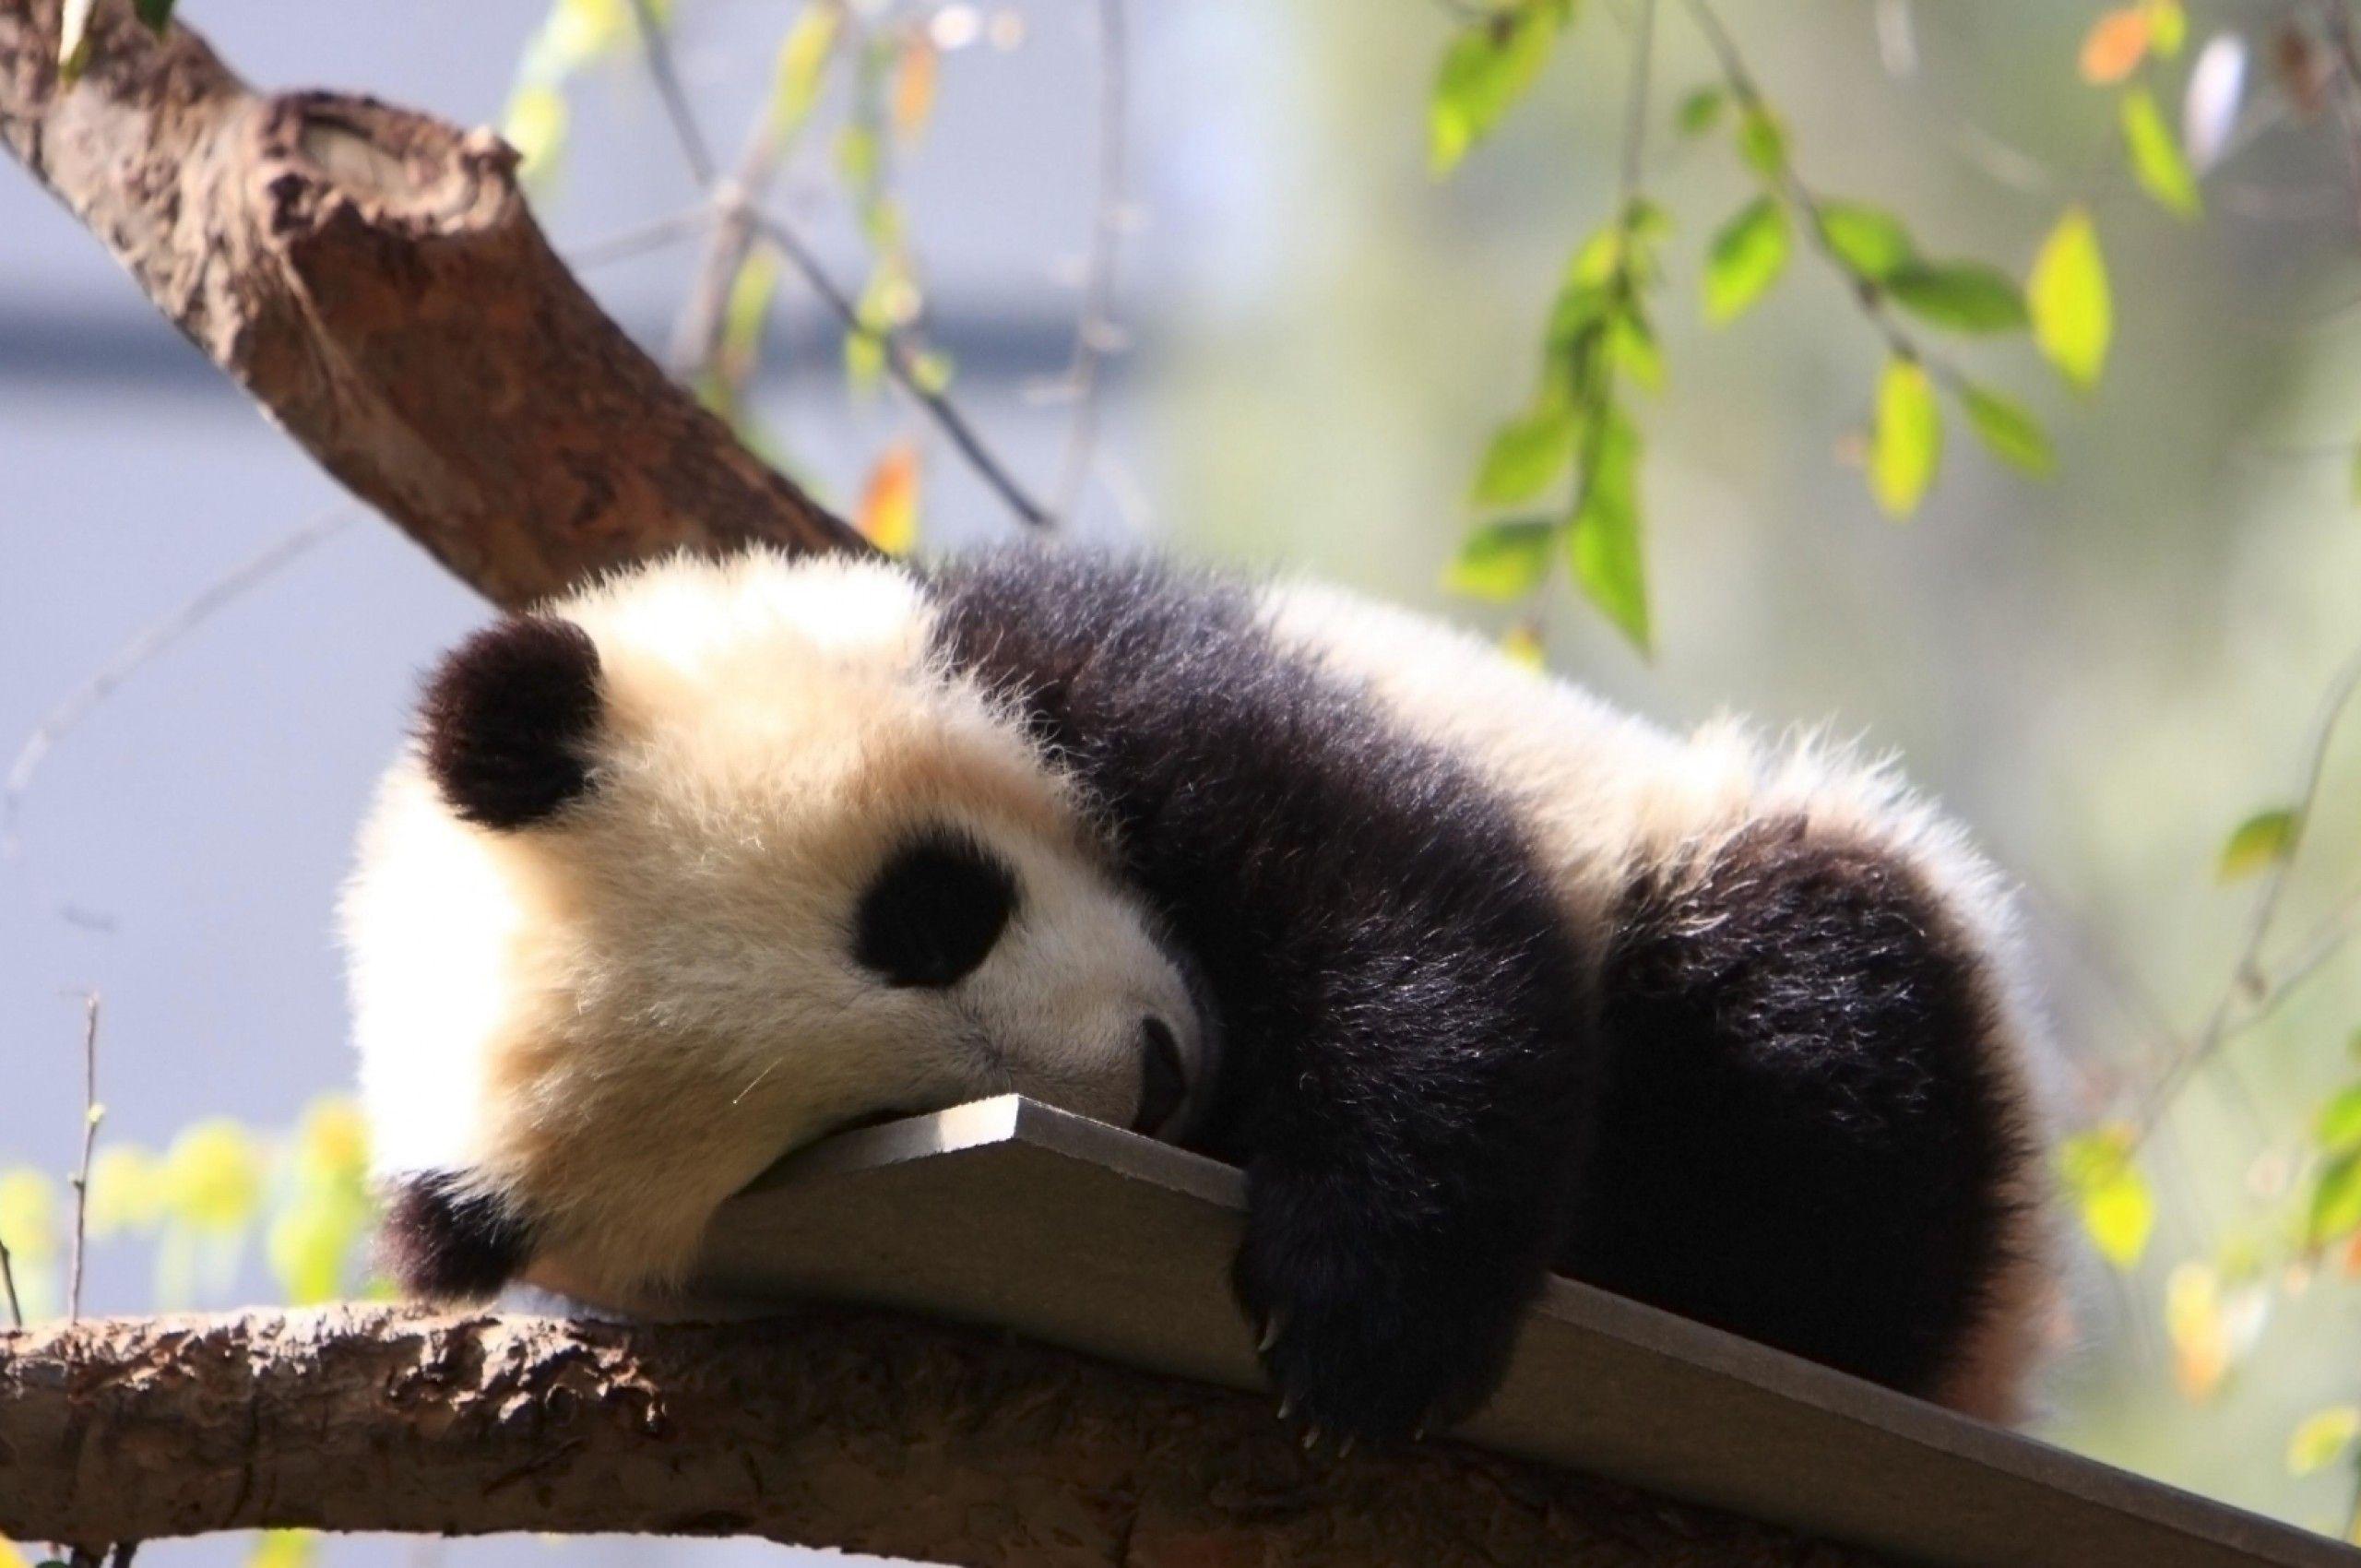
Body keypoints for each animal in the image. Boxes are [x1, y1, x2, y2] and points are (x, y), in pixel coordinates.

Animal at [344, 543, 2053, 1442]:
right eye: (865, 1121)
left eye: (929, 915)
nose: (1159, 1077)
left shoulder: (1101, 659)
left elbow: (1400, 898)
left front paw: (1367, 1320)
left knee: (1809, 1026)